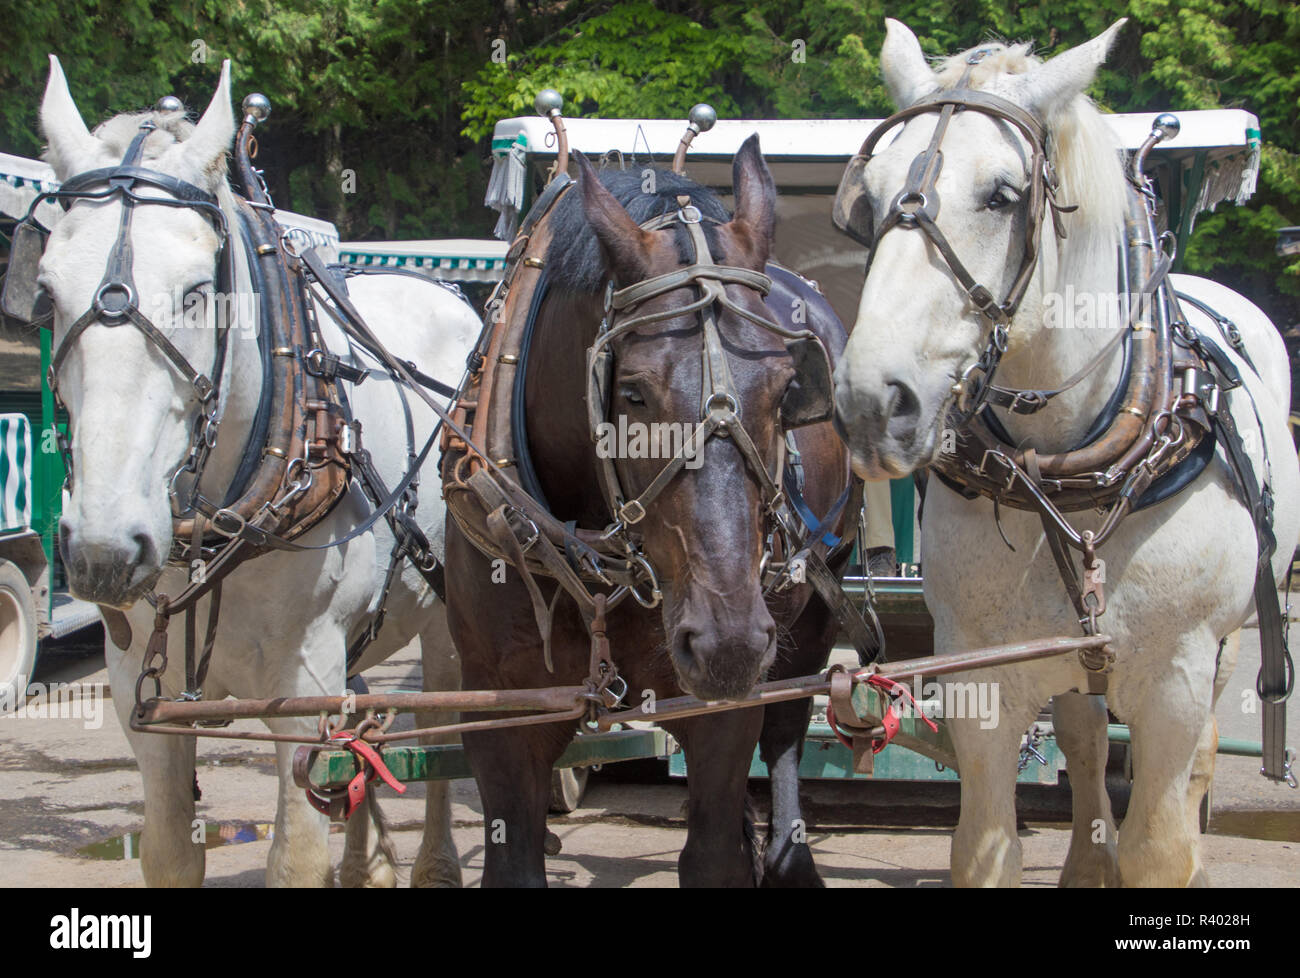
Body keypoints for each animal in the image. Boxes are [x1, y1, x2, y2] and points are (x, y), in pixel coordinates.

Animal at [33, 57, 478, 887]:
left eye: (198, 292)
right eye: (44, 293)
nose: (105, 550)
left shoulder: (303, 683)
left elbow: (296, 855)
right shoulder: (137, 689)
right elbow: (171, 850)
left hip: (447, 615)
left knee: (446, 729)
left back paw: (434, 863)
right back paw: (369, 860)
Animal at [443, 139, 855, 886]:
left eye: (788, 389)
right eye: (632, 393)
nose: (728, 640)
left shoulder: (726, 708)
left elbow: (714, 849)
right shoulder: (499, 710)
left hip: (812, 604)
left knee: (787, 726)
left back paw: (790, 856)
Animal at [831, 19, 1299, 886]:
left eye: (1002, 196)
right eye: (869, 199)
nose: (872, 403)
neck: (1072, 469)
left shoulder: (1177, 676)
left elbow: (1159, 847)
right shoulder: (979, 671)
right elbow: (987, 845)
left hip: (1225, 640)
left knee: (1200, 756)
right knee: (1082, 731)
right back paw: (1087, 857)